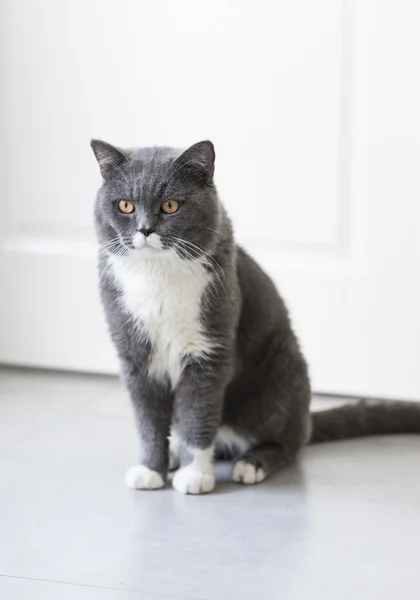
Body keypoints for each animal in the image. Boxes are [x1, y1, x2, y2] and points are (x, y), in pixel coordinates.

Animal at [90, 138, 420, 494]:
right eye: (125, 206)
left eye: (170, 206)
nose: (145, 229)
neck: (157, 276)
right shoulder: (134, 357)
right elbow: (148, 421)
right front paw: (151, 469)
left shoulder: (209, 352)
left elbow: (198, 415)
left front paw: (196, 475)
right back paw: (175, 454)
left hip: (281, 374)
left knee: (288, 442)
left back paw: (252, 463)